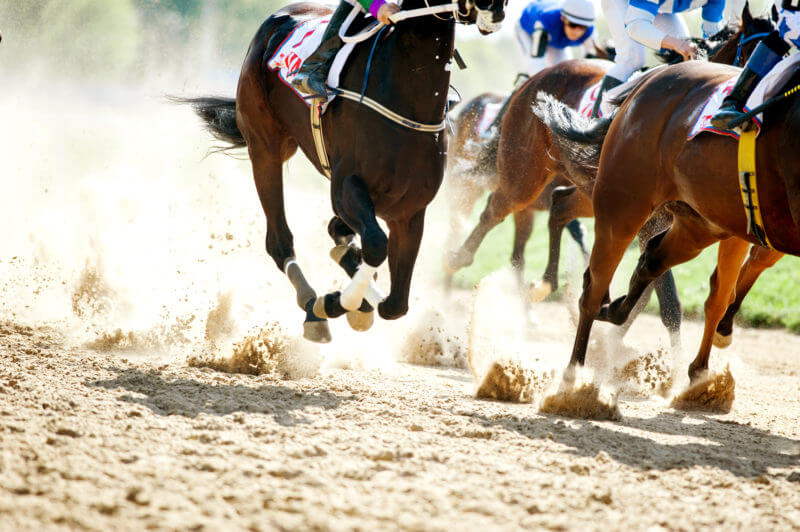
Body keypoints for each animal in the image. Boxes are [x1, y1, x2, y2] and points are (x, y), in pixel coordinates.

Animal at [181, 0, 506, 342]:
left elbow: (395, 304)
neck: (408, 100)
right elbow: (376, 245)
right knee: (279, 241)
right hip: (265, 147)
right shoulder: (346, 186)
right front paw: (336, 302)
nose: (495, 9)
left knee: (338, 234)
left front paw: (354, 297)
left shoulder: (410, 211)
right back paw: (312, 305)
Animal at [536, 19, 796, 382]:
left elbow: (721, 287)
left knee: (637, 254)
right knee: (593, 268)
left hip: (684, 221)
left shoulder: (743, 227)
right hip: (618, 203)